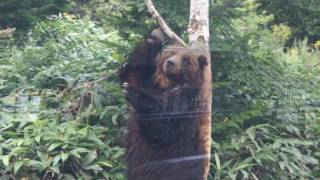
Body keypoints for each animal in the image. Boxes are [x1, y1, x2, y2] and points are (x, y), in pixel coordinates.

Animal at [119, 28, 209, 180]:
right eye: (171, 53)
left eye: (185, 59)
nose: (170, 63)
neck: (169, 83)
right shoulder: (148, 81)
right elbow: (132, 72)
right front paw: (156, 36)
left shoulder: (184, 101)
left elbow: (164, 129)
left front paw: (134, 93)